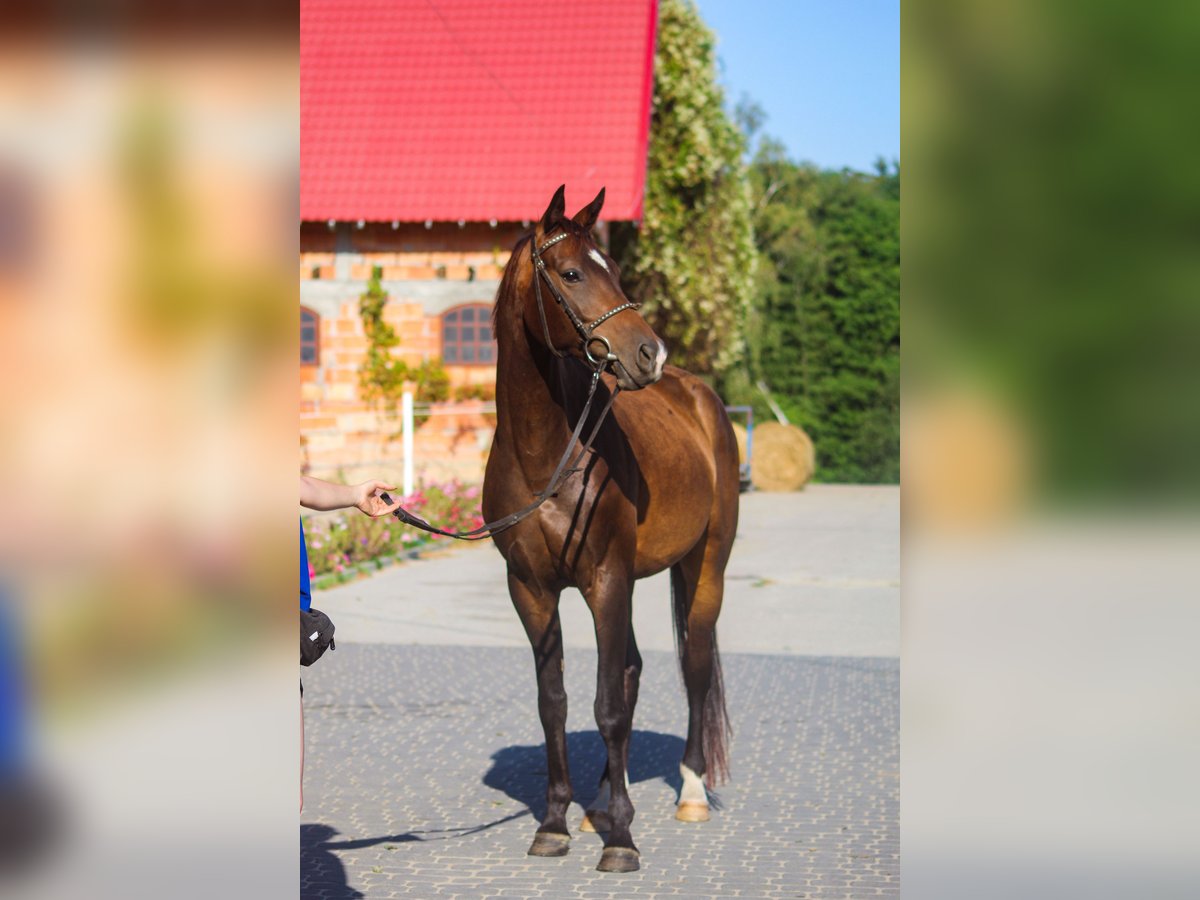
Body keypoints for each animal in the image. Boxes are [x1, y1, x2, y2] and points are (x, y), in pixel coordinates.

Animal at [480, 184, 739, 873]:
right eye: (571, 273)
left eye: (616, 270)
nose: (649, 354)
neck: (549, 456)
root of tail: (698, 395)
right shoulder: (532, 590)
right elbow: (557, 704)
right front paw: (555, 825)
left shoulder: (605, 579)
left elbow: (609, 707)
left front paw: (622, 839)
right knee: (632, 669)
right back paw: (599, 802)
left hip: (703, 566)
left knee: (693, 665)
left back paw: (690, 792)